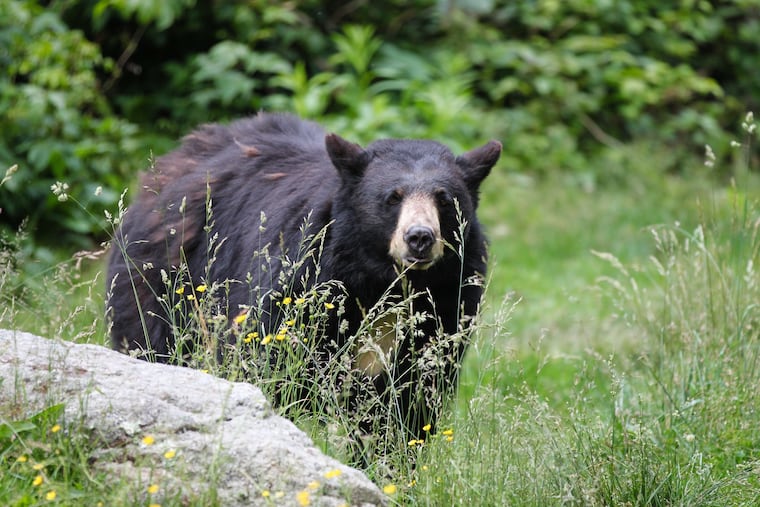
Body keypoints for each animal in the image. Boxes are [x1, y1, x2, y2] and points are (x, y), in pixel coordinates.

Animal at [106, 112, 501, 448]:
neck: (381, 286)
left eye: (444, 199)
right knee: (151, 342)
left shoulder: (446, 309)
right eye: (393, 197)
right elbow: (270, 368)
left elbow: (409, 405)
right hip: (163, 284)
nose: (419, 237)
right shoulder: (299, 289)